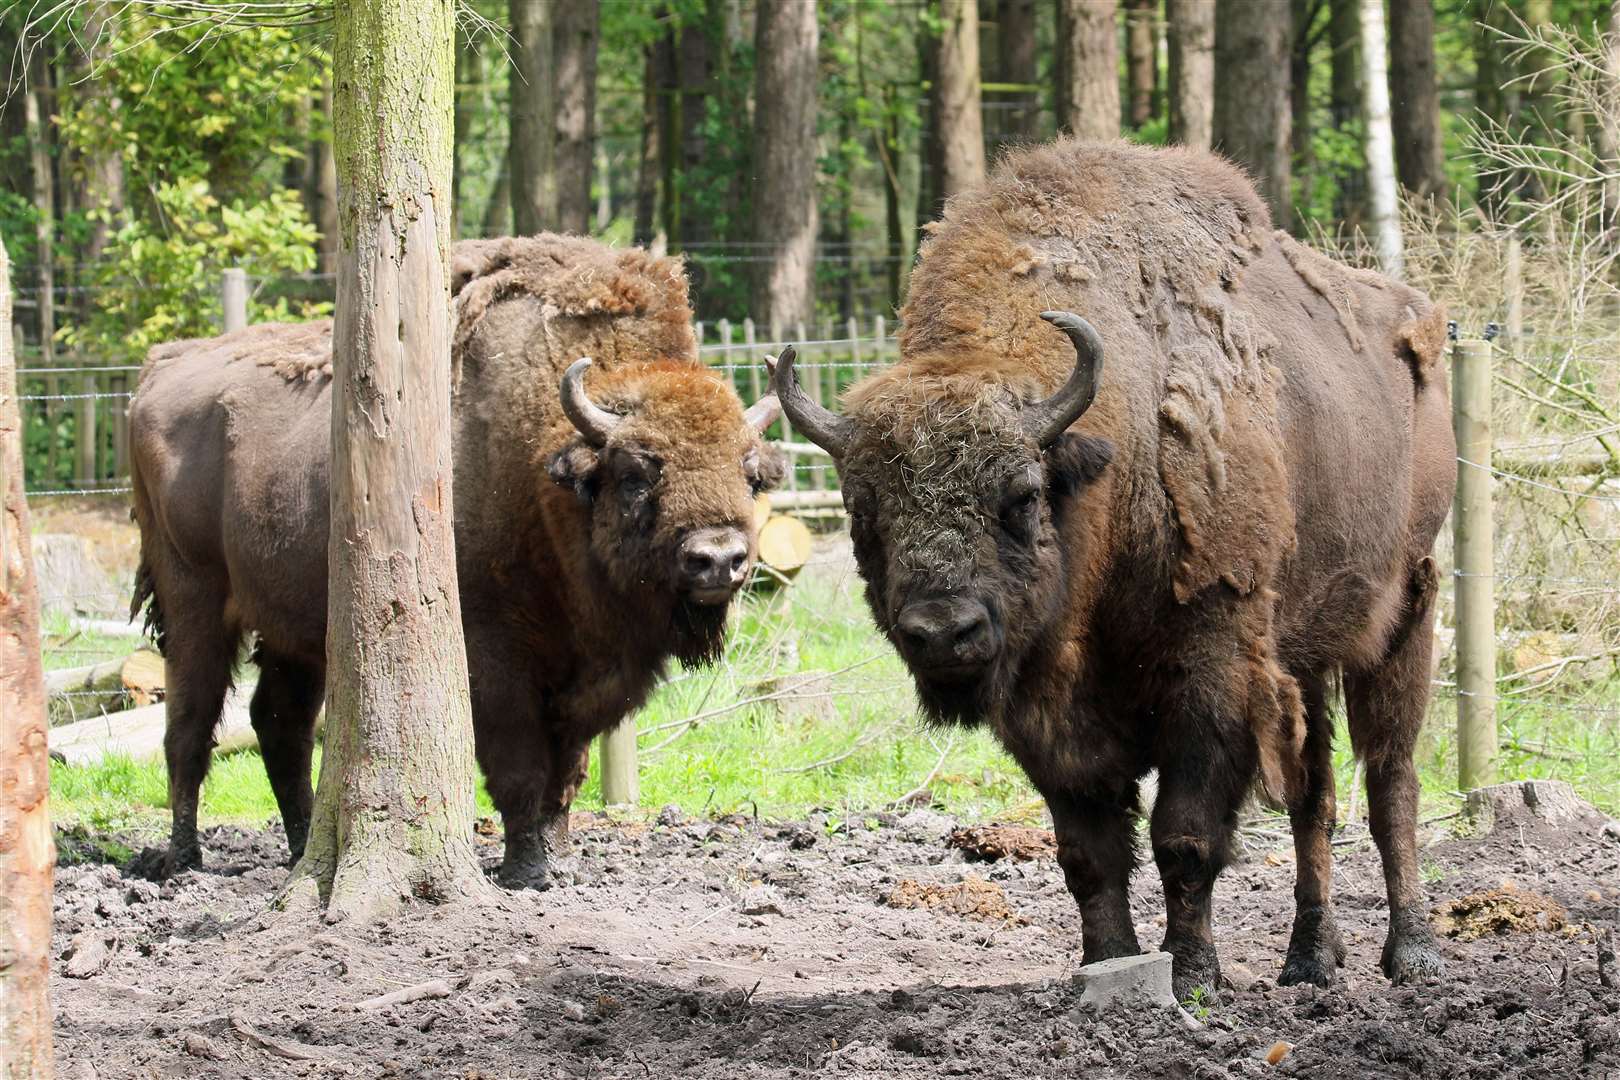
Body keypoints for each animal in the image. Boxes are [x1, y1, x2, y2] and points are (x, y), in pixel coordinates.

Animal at [131, 236, 777, 887]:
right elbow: (520, 767)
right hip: (192, 599)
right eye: (637, 472)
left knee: (278, 723)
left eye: (750, 474)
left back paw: (297, 851)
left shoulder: (585, 673)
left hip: (295, 627)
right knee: (189, 725)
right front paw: (526, 868)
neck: (546, 471)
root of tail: (160, 367)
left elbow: (567, 772)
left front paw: (558, 855)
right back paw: (182, 860)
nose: (717, 559)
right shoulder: (494, 658)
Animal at [771, 141, 1458, 997]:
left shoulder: (1212, 680)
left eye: (1022, 495)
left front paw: (1192, 977)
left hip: (1407, 615)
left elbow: (1185, 838)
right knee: (1316, 797)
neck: (1108, 471)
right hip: (1305, 655)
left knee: (1391, 780)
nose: (941, 633)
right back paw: (1308, 959)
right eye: (863, 512)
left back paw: (1413, 952)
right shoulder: (1047, 717)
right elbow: (1089, 853)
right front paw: (1104, 966)